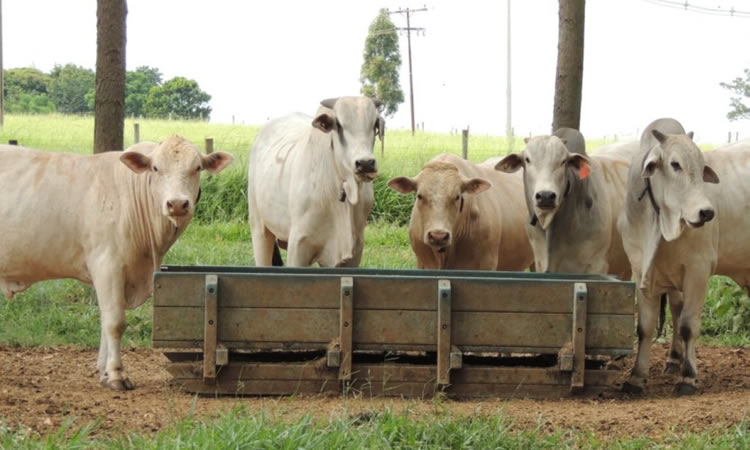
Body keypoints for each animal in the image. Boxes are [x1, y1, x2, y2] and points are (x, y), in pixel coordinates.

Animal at [0, 135, 234, 388]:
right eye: (155, 168)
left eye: (197, 167)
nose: (178, 204)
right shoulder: (107, 265)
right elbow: (114, 322)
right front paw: (116, 374)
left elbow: (105, 321)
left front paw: (104, 373)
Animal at [250, 96, 384, 266]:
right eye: (338, 124)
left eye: (375, 124)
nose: (365, 163)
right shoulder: (298, 246)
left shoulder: (355, 250)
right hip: (259, 227)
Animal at [620, 118, 750, 396]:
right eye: (674, 164)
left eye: (702, 168)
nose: (706, 212)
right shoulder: (641, 272)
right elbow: (644, 328)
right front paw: (636, 377)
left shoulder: (698, 271)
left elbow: (688, 326)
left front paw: (687, 377)